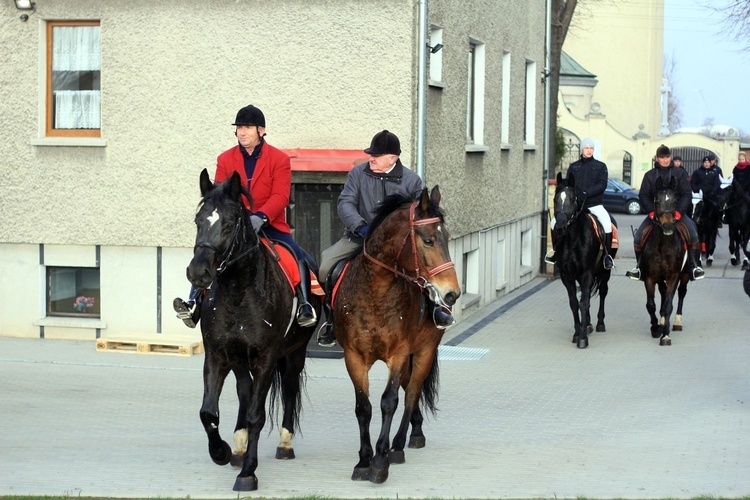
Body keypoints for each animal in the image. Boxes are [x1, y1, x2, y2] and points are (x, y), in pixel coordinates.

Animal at [187, 170, 324, 490]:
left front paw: (248, 472)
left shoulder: (266, 358)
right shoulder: (217, 355)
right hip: (240, 360)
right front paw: (222, 452)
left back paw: (285, 443)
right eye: (198, 221)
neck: (239, 291)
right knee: (244, 392)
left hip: (294, 355)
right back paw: (238, 447)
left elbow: (256, 415)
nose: (198, 273)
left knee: (288, 389)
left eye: (227, 224)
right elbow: (208, 412)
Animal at [334, 187, 462, 484]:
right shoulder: (353, 356)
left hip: (424, 352)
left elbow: (389, 402)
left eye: (448, 238)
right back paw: (415, 431)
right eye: (428, 240)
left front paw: (380, 461)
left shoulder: (399, 354)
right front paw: (363, 461)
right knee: (408, 391)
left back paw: (400, 444)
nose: (452, 293)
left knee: (412, 393)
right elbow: (363, 408)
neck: (375, 292)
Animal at [552, 172, 616, 348]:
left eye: (573, 199)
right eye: (555, 199)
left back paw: (600, 323)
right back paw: (587, 324)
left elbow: (584, 302)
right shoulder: (567, 275)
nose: (559, 227)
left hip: (604, 271)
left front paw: (582, 338)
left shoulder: (587, 273)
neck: (572, 239)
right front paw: (577, 332)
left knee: (603, 292)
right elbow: (575, 303)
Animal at [640, 175, 692, 344]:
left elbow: (669, 304)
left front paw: (666, 335)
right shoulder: (650, 277)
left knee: (681, 293)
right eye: (657, 201)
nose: (668, 225)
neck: (663, 245)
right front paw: (656, 328)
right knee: (663, 294)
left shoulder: (673, 276)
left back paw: (676, 322)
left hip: (685, 275)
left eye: (675, 201)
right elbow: (651, 305)